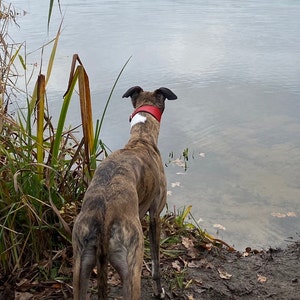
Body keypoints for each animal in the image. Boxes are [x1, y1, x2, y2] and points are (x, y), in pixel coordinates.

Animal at [72, 85, 177, 298]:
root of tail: (103, 219)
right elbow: (156, 265)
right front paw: (159, 290)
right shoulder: (155, 214)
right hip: (131, 266)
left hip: (80, 266)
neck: (141, 138)